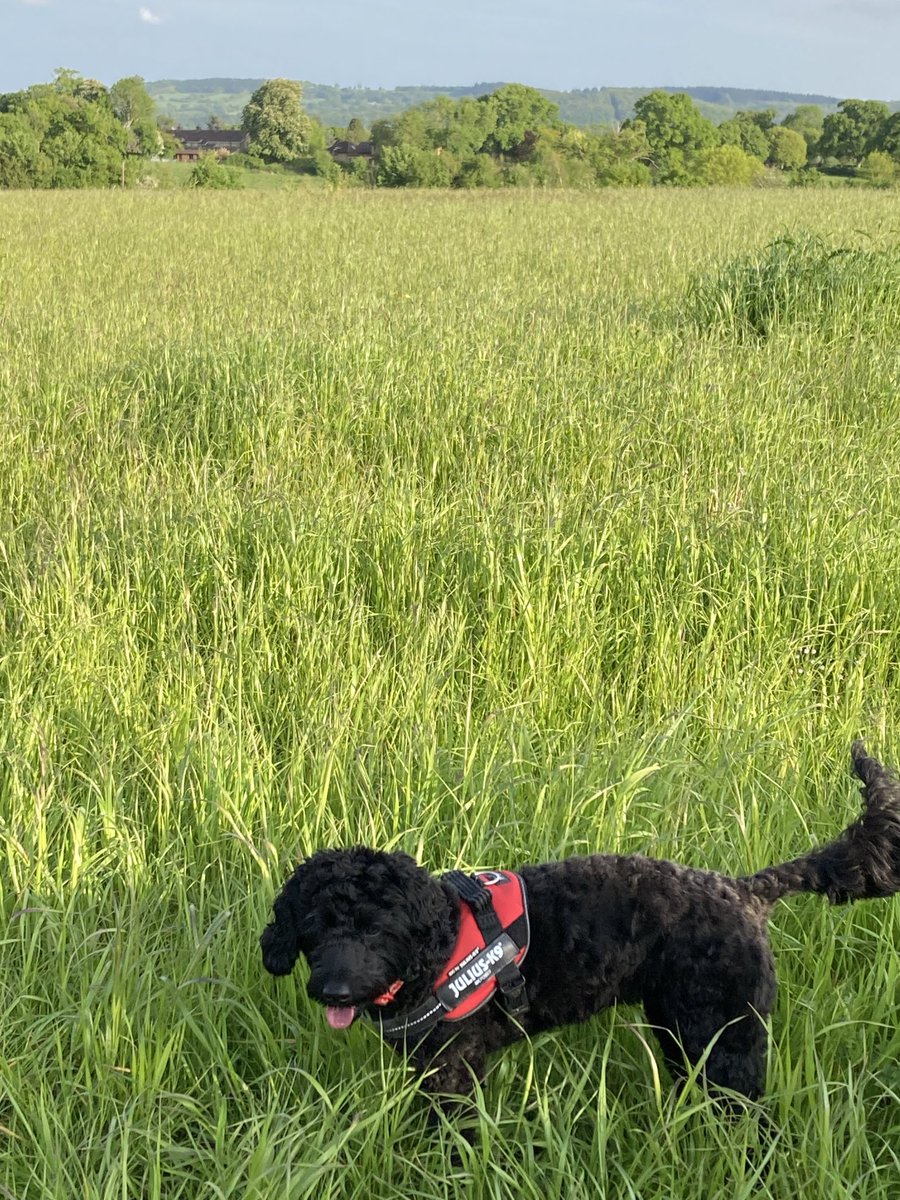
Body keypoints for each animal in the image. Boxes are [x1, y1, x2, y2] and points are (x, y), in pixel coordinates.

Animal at [260, 744, 900, 1108]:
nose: (334, 990)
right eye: (314, 927)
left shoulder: (453, 1072)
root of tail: (745, 892)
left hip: (728, 1043)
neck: (435, 948)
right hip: (683, 1030)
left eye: (375, 929)